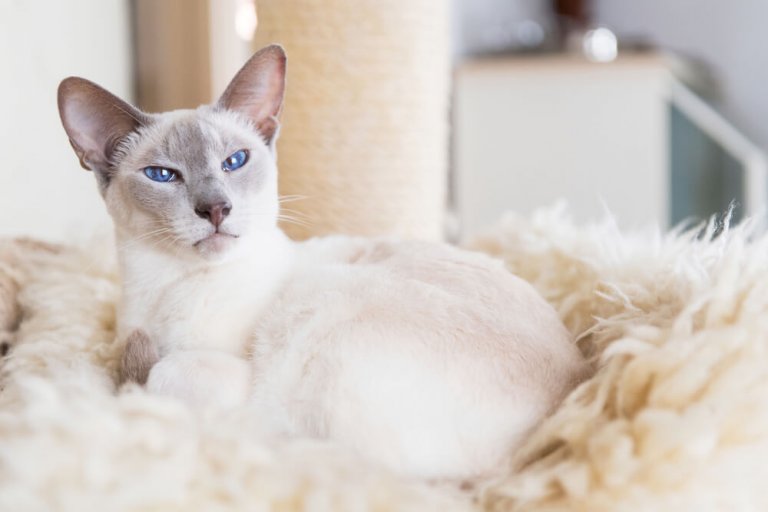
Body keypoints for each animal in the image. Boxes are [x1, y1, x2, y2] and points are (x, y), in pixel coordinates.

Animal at [57, 44, 592, 480]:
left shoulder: (223, 374)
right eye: (163, 175)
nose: (216, 209)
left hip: (320, 308)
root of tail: (538, 446)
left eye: (235, 162)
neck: (167, 287)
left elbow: (163, 374)